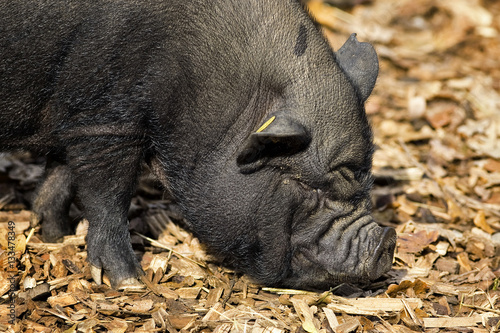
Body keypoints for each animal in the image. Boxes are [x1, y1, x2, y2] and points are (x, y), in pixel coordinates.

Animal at [0, 0, 394, 290]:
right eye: (311, 188)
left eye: (367, 183)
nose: (387, 241)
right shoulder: (108, 120)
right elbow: (107, 198)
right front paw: (130, 282)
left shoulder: (75, 118)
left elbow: (60, 176)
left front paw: (54, 235)